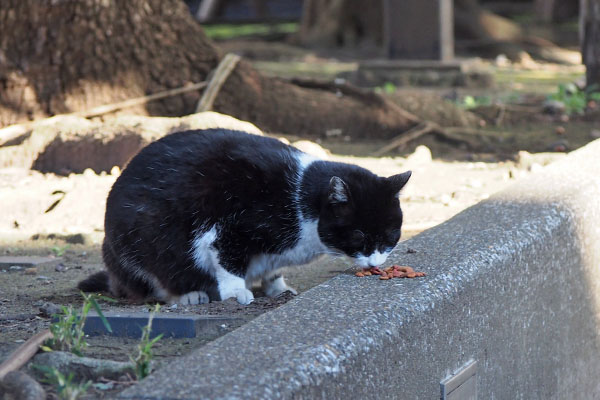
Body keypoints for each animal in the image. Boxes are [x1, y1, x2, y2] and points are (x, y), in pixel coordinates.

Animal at [77, 130, 410, 304]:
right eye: (359, 235)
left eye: (390, 236)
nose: (376, 262)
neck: (300, 200)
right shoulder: (229, 226)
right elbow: (227, 261)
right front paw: (237, 292)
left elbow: (273, 271)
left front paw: (277, 287)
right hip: (144, 239)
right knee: (156, 278)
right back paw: (188, 295)